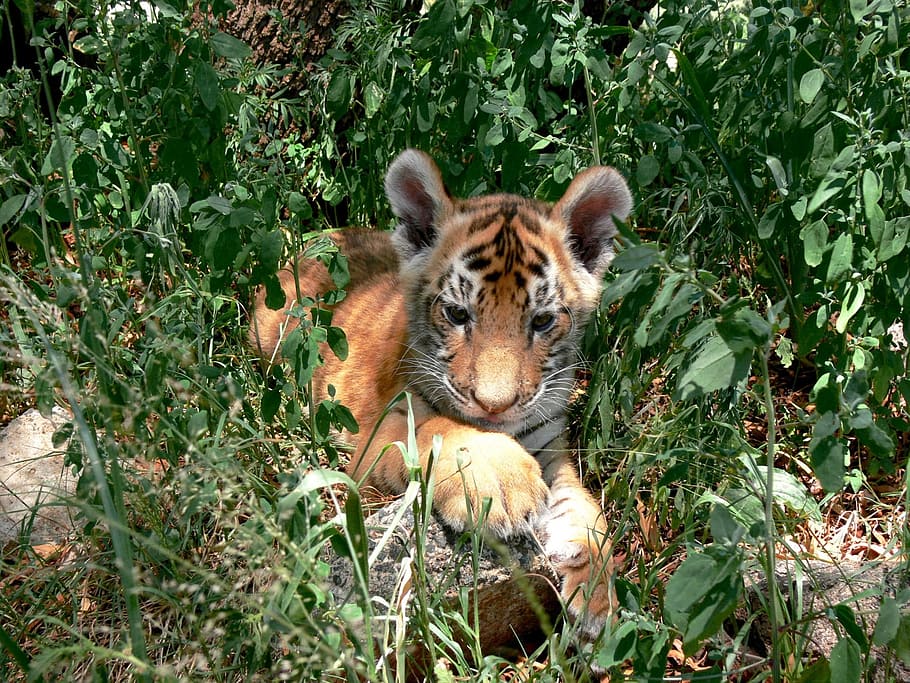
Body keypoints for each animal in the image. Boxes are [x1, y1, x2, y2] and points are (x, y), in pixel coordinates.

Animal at [250, 149, 633, 638]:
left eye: (543, 321)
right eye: (457, 314)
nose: (494, 406)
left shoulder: (551, 449)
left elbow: (584, 513)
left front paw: (598, 599)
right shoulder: (374, 438)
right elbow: (436, 429)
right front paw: (495, 479)